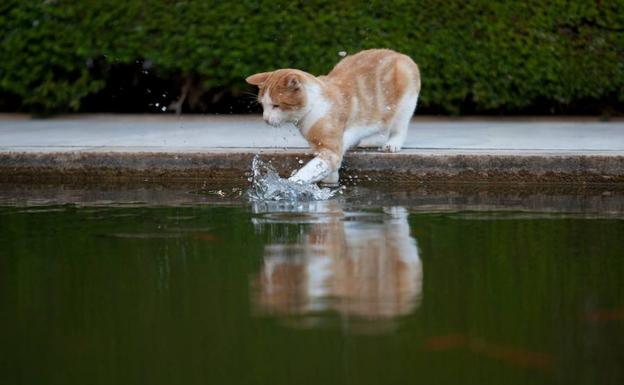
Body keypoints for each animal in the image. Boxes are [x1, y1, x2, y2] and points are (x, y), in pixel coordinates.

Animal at [246, 48, 422, 184]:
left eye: (275, 105)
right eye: (263, 105)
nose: (265, 119)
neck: (314, 106)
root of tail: (398, 54)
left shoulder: (330, 150)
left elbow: (309, 171)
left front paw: (289, 185)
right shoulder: (321, 149)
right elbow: (326, 169)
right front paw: (331, 180)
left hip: (405, 104)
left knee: (399, 127)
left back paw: (392, 143)